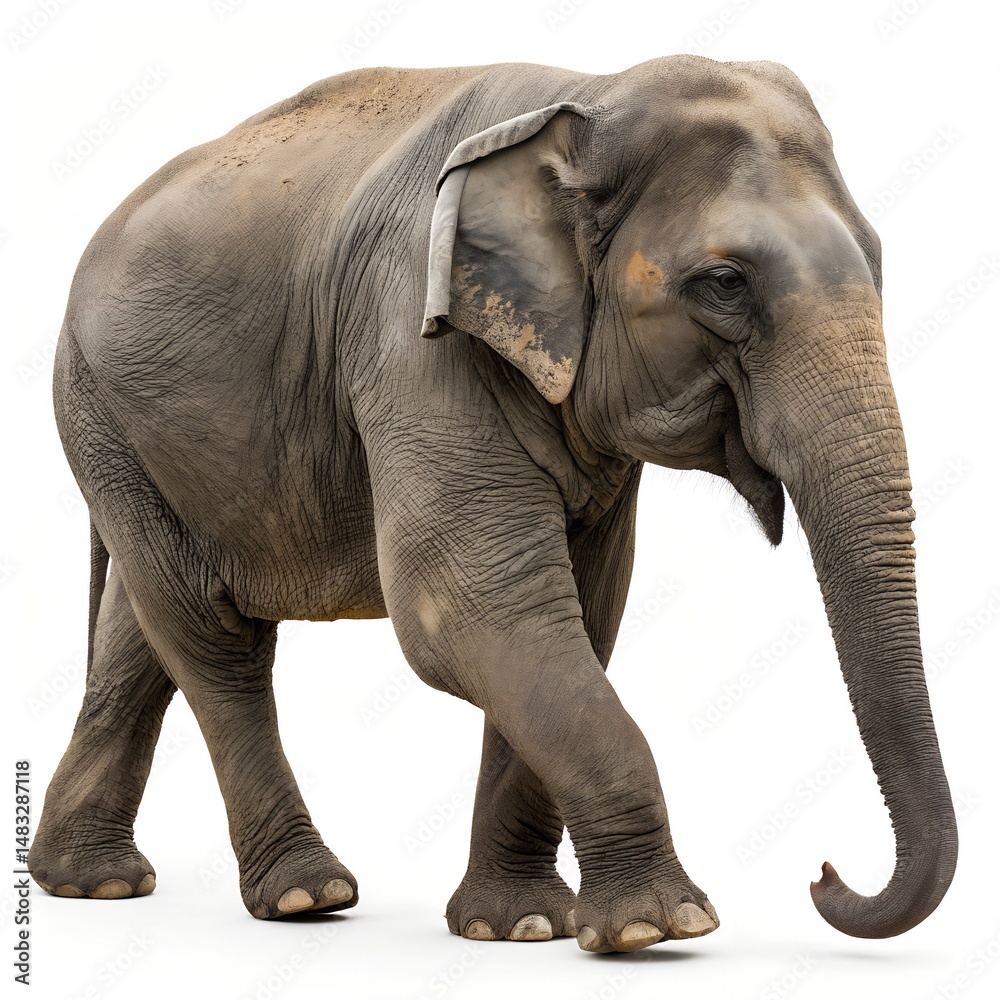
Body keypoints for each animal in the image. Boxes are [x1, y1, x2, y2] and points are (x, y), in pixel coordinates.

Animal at [30, 54, 957, 955]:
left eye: (878, 260)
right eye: (724, 283)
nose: (824, 874)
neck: (586, 98)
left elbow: (575, 610)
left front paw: (520, 926)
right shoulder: (413, 332)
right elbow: (472, 607)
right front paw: (661, 926)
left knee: (146, 623)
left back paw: (92, 881)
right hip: (100, 410)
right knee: (214, 637)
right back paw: (306, 895)